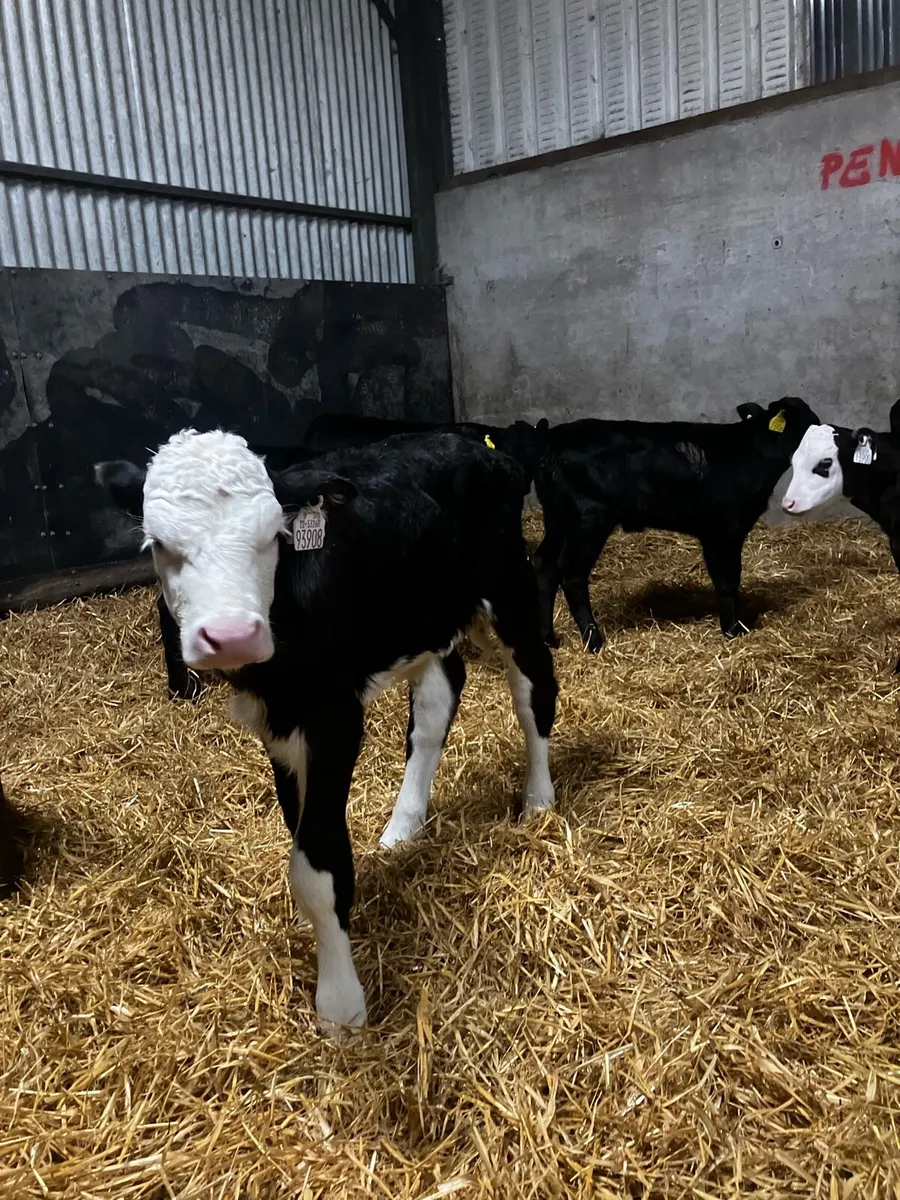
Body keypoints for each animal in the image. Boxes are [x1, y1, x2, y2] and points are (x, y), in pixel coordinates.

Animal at [97, 428, 558, 1032]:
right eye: (158, 543)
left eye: (273, 535)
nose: (232, 634)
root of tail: (470, 442)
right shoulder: (280, 729)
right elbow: (300, 846)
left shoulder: (333, 718)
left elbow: (319, 864)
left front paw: (340, 1005)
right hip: (423, 619)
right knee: (437, 703)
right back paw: (402, 827)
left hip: (508, 583)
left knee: (533, 689)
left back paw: (539, 801)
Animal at [531, 397, 819, 650]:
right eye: (809, 425)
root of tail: (551, 439)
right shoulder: (722, 530)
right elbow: (727, 579)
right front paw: (733, 629)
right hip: (588, 520)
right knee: (572, 575)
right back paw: (594, 642)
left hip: (557, 520)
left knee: (545, 567)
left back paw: (548, 640)